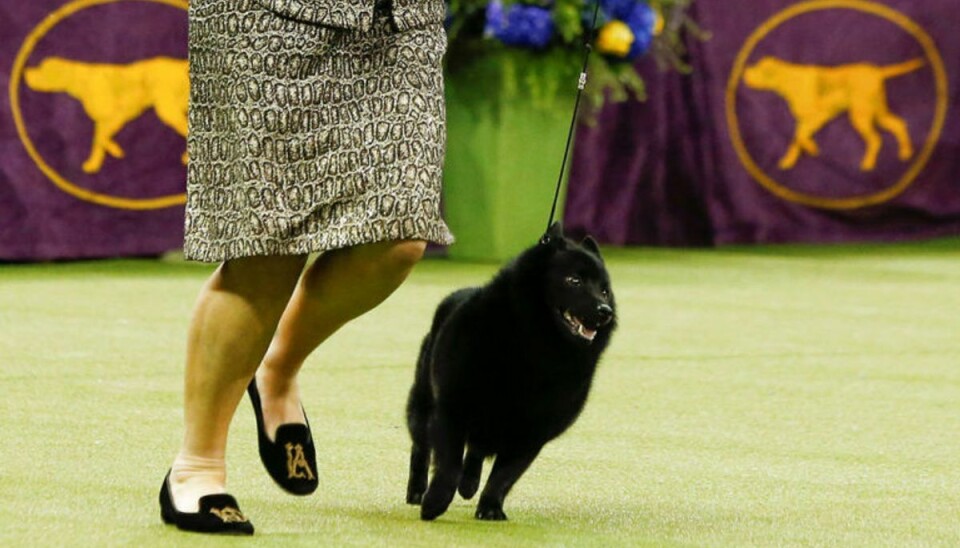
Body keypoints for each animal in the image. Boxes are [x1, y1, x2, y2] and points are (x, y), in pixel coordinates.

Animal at [404, 223, 616, 524]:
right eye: (574, 280)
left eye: (605, 290)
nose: (604, 311)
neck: (534, 348)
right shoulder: (452, 409)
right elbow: (449, 464)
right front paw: (435, 502)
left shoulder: (531, 432)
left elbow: (504, 477)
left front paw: (490, 507)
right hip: (424, 403)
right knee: (421, 446)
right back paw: (417, 491)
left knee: (476, 450)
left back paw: (469, 485)